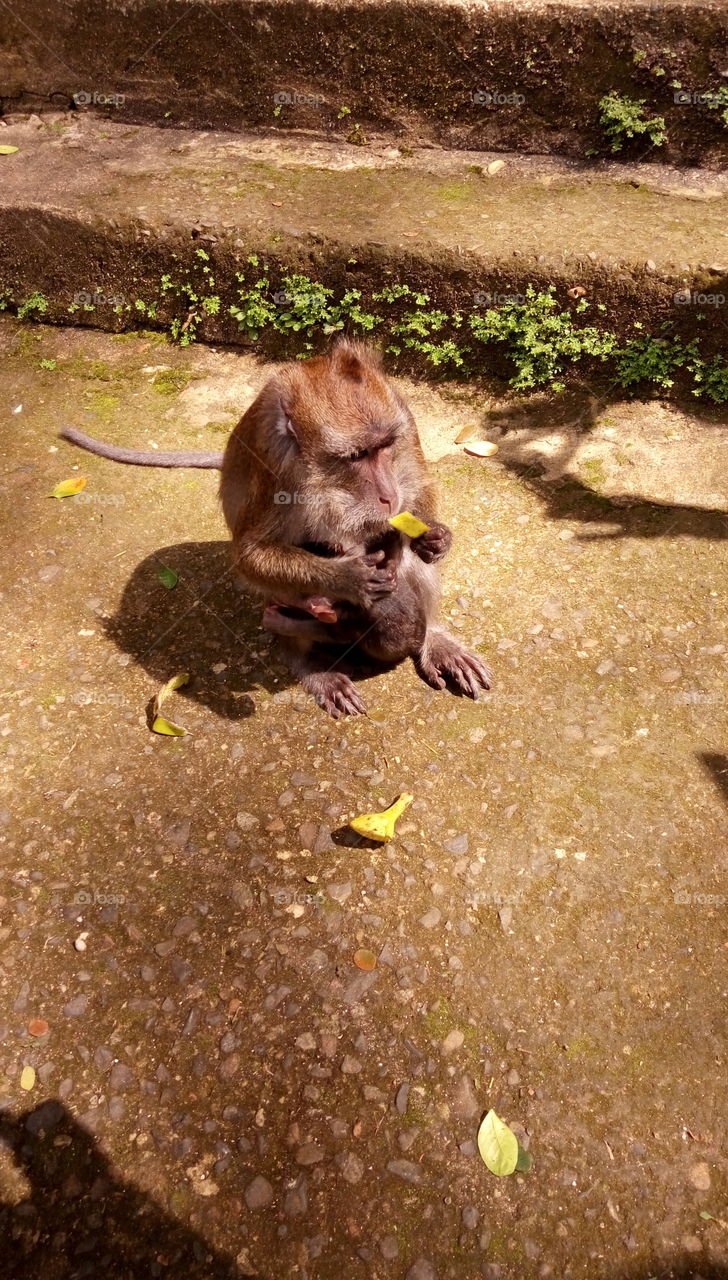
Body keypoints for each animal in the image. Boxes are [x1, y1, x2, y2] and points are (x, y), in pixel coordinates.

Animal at [61, 339, 492, 716]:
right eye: (356, 455)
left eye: (385, 446)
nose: (387, 495)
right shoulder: (273, 458)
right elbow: (252, 555)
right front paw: (348, 578)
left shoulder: (402, 414)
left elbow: (418, 488)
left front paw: (435, 535)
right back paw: (308, 654)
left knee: (403, 555)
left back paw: (432, 637)